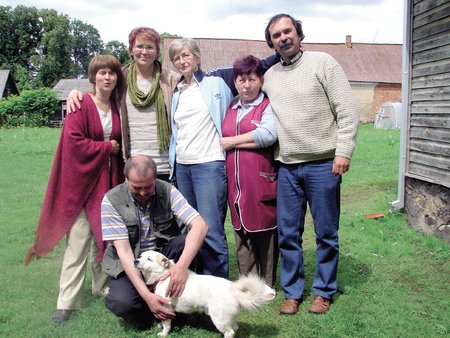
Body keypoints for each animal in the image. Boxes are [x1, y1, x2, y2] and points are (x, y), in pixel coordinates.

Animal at [134, 250, 270, 336]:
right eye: (140, 256)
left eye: (149, 259)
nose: (135, 260)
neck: (163, 275)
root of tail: (232, 289)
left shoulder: (166, 308)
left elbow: (167, 325)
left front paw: (163, 333)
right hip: (228, 317)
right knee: (235, 327)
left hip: (219, 318)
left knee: (230, 332)